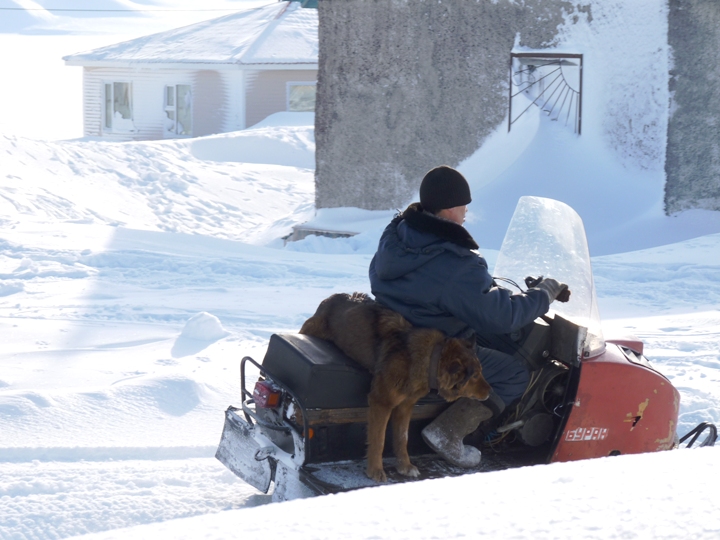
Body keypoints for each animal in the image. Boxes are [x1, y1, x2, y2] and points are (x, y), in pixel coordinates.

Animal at [298, 294, 490, 484]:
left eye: (481, 371)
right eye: (475, 376)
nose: (489, 392)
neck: (429, 360)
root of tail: (329, 299)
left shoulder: (405, 406)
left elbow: (402, 438)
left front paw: (405, 466)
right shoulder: (381, 402)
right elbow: (379, 440)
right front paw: (375, 470)